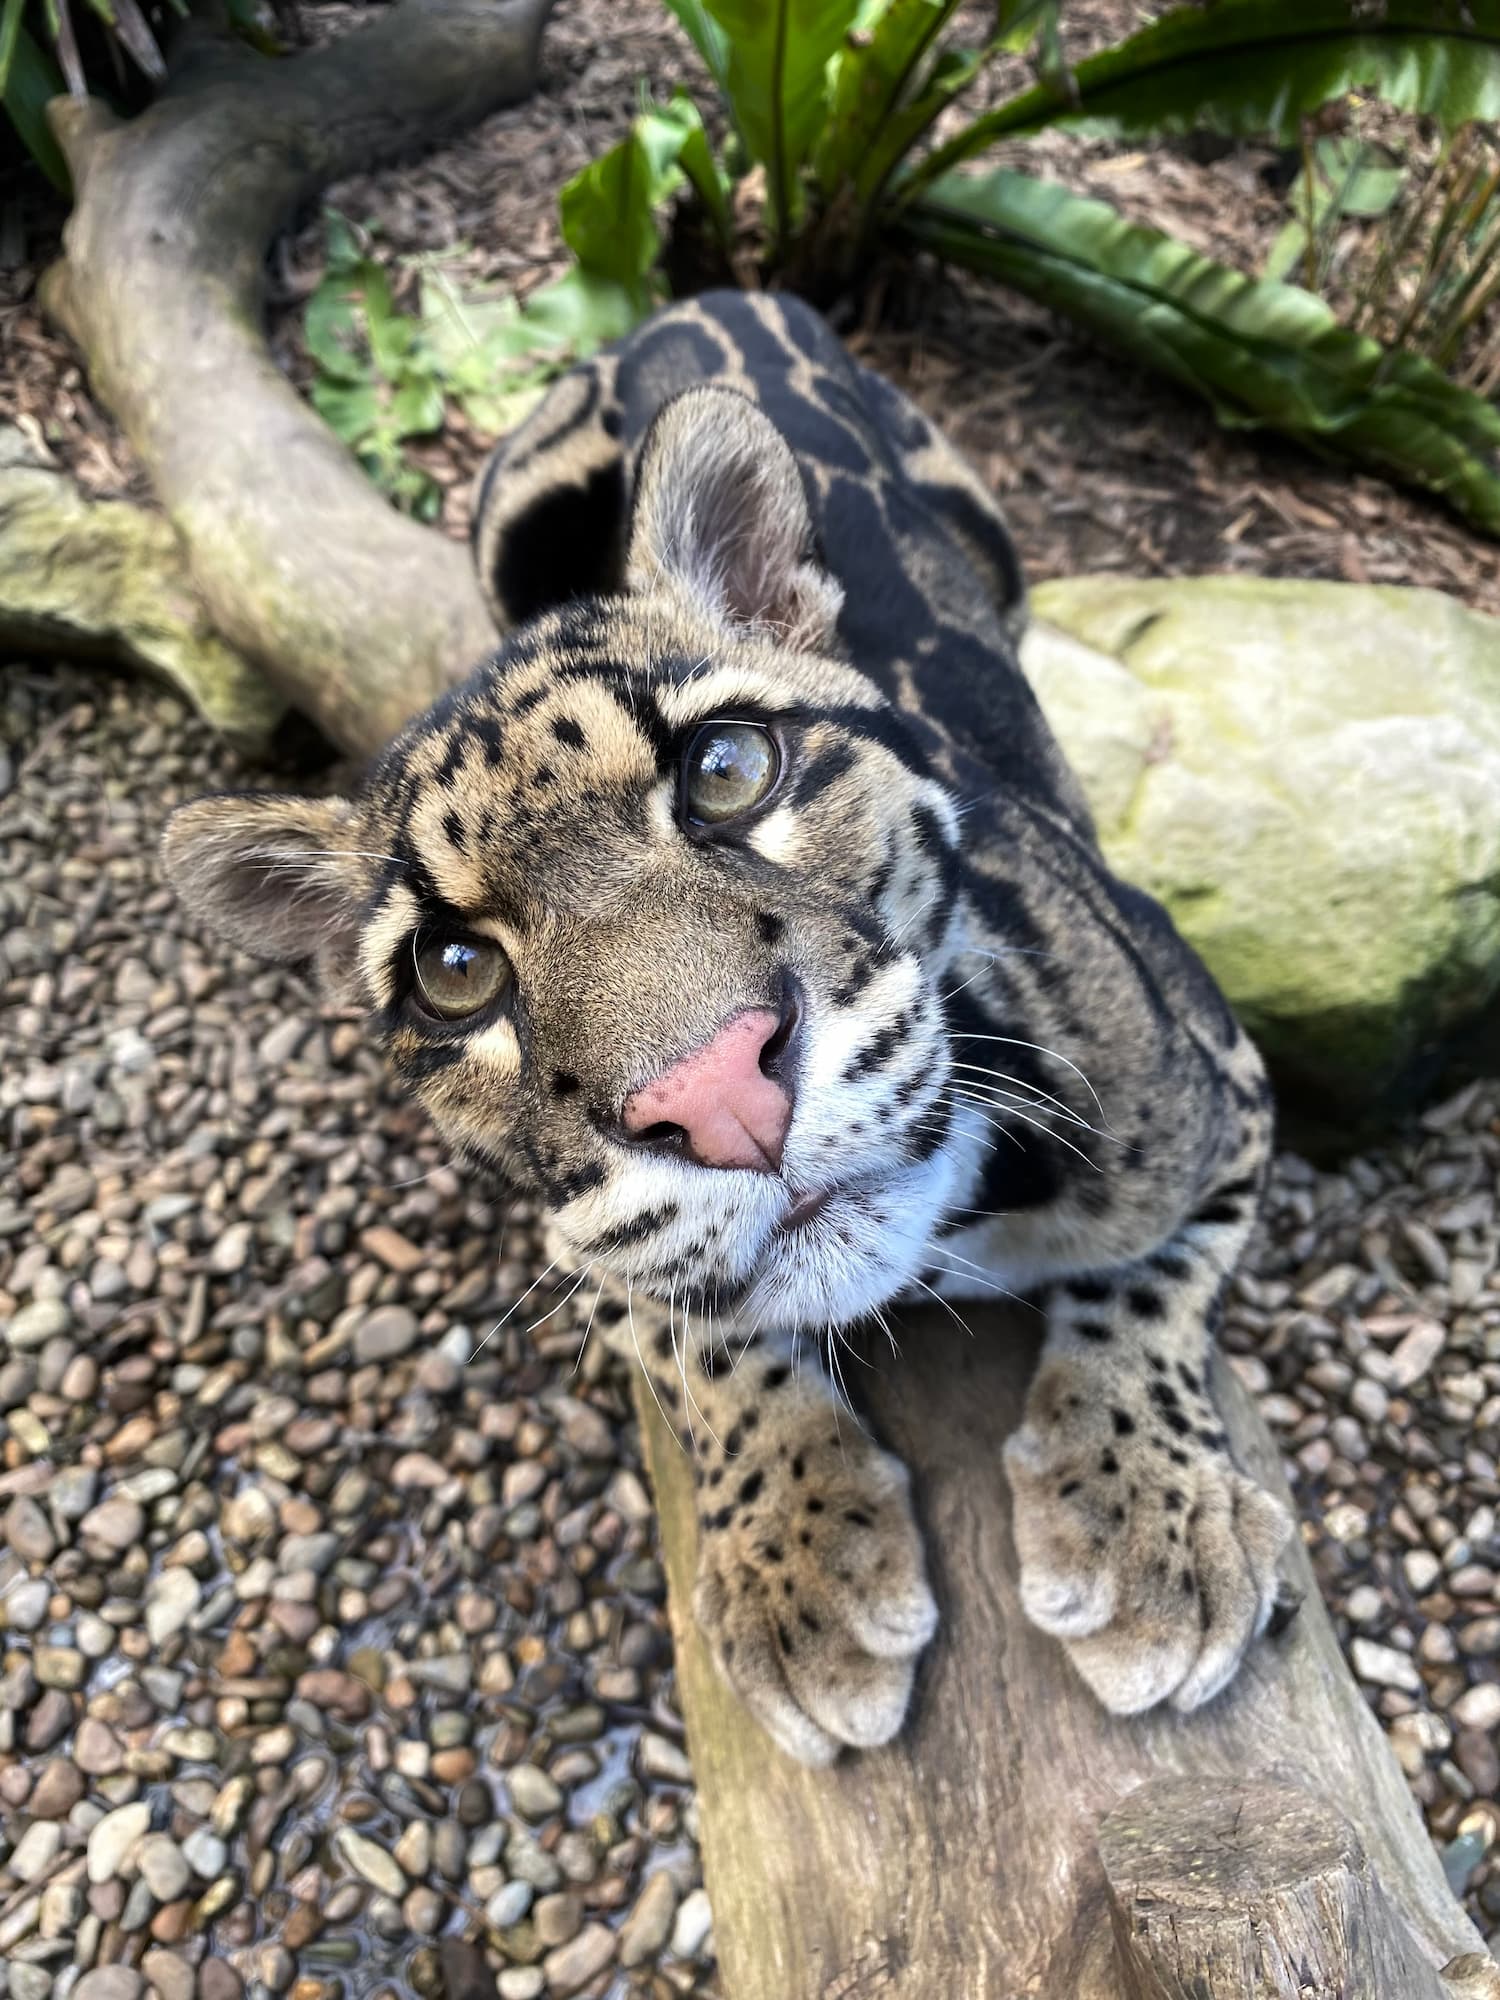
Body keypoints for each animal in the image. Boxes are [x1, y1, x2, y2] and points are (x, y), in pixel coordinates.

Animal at [164, 288, 1293, 1768]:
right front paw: (806, 1571)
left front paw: (1150, 1520)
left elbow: (1153, 1285)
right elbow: (700, 1336)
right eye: (453, 971)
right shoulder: (583, 1231)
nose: (716, 1098)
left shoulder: (1221, 1078)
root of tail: (714, 295)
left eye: (727, 768)